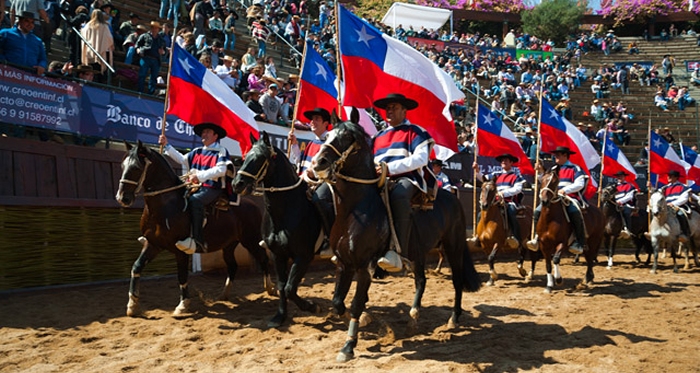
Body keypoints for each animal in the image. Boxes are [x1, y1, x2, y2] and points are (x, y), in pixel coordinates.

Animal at [114, 141, 274, 316]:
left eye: (136, 167)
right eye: (122, 166)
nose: (122, 198)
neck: (167, 206)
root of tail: (253, 205)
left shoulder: (180, 251)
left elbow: (182, 276)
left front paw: (183, 305)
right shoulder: (153, 244)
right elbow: (136, 267)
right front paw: (132, 305)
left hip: (250, 240)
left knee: (263, 259)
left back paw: (270, 288)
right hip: (229, 245)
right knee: (232, 266)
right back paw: (224, 294)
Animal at [232, 132, 326, 326]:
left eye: (261, 157)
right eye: (244, 158)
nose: (237, 184)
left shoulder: (304, 256)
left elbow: (290, 288)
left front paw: (312, 306)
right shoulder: (277, 255)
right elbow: (283, 286)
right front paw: (280, 316)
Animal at [314, 112, 482, 360]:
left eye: (348, 137)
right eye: (327, 136)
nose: (318, 163)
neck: (356, 211)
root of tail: (452, 196)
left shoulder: (365, 266)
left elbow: (355, 303)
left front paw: (349, 345)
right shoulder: (344, 264)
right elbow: (337, 302)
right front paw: (365, 319)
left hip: (454, 245)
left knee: (457, 280)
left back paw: (453, 318)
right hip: (418, 252)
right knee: (421, 280)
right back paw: (413, 316)